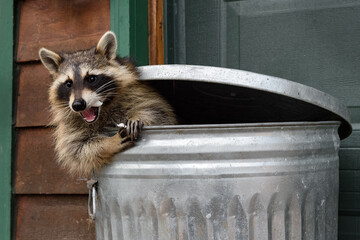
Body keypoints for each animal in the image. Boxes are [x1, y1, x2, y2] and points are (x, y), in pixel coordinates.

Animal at [39, 31, 177, 177]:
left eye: (91, 78)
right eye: (68, 83)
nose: (78, 105)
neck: (103, 109)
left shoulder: (137, 91)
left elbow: (157, 111)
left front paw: (137, 117)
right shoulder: (70, 124)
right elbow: (77, 150)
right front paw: (109, 143)